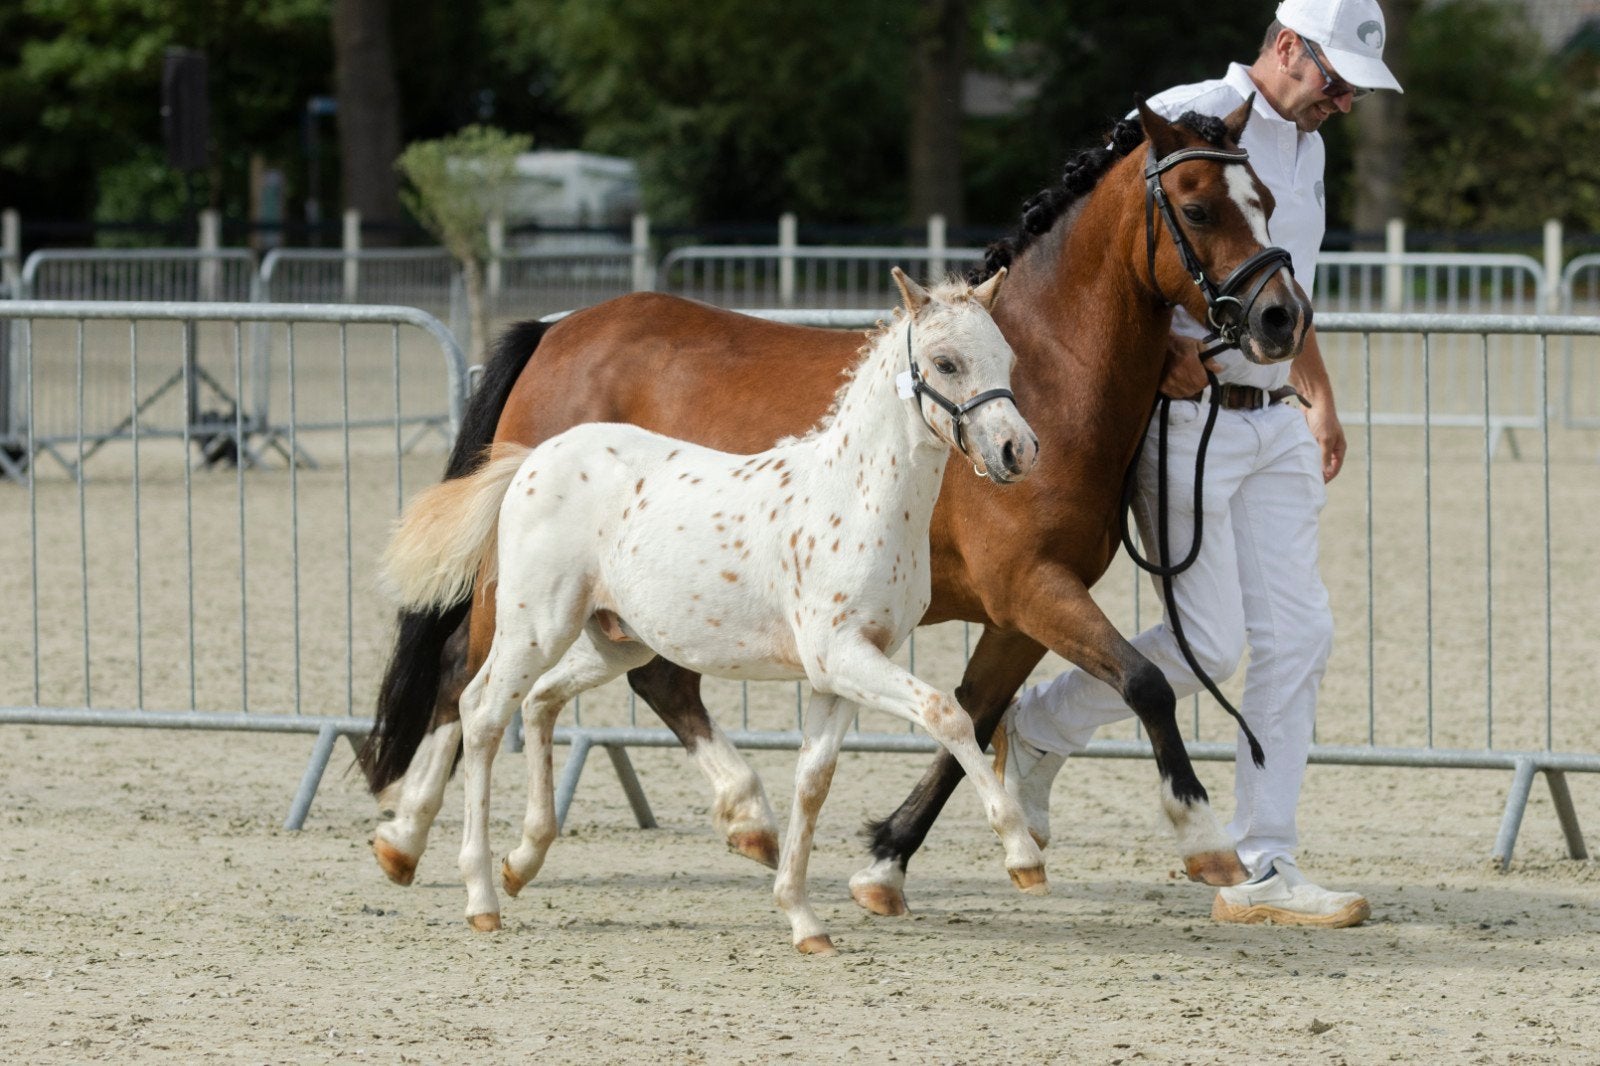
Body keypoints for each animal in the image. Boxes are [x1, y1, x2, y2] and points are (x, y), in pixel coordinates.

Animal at [378, 269, 1041, 952]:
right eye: (946, 362)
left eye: (1008, 359)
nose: (1018, 450)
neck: (855, 499)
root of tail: (530, 460)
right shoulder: (842, 654)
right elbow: (948, 715)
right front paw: (1022, 855)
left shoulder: (843, 670)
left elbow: (813, 782)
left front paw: (803, 919)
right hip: (534, 627)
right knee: (481, 712)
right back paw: (478, 892)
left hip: (615, 641)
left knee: (541, 701)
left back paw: (521, 860)